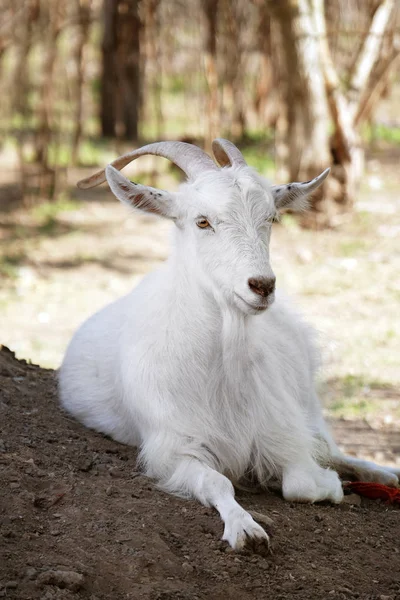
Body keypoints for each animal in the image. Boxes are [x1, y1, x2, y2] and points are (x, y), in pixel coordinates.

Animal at [60, 138, 400, 552]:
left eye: (271, 219)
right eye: (202, 221)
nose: (262, 286)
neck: (223, 370)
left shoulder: (282, 431)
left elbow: (301, 482)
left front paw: (331, 486)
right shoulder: (172, 448)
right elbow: (217, 481)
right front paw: (245, 528)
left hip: (308, 401)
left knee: (335, 450)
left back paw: (384, 473)